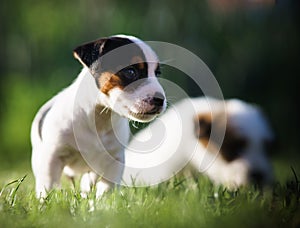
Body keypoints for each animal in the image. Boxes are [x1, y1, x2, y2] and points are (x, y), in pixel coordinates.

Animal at [30, 34, 166, 199]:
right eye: (130, 72)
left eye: (157, 74)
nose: (160, 100)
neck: (100, 118)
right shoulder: (53, 157)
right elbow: (48, 185)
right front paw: (45, 202)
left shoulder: (114, 160)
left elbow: (107, 189)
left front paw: (102, 203)